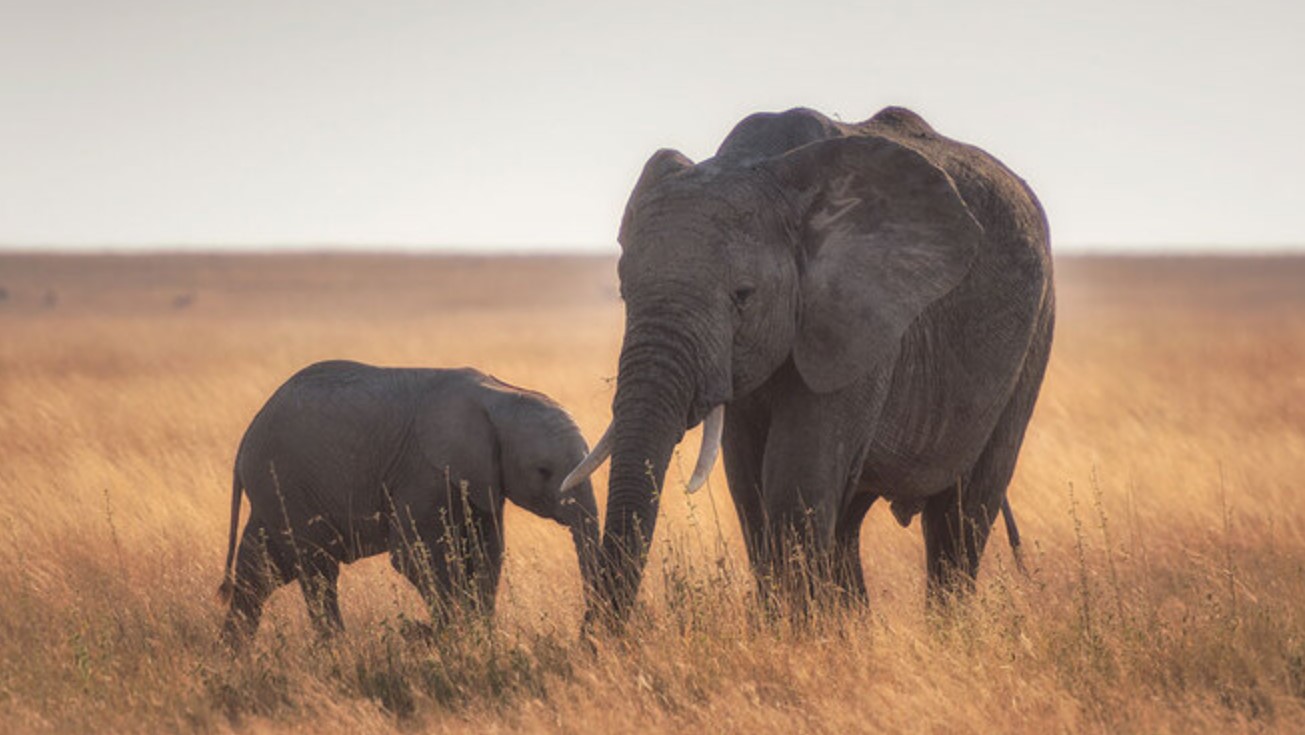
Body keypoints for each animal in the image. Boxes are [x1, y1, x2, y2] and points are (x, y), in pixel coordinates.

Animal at [219, 360, 600, 644]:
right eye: (543, 470)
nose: (586, 633)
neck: (500, 395)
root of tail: (245, 439)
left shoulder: (481, 480)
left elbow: (487, 553)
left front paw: (480, 638)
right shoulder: (423, 471)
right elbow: (415, 555)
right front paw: (452, 637)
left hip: (276, 491)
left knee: (260, 571)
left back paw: (233, 656)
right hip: (285, 483)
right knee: (317, 570)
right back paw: (337, 650)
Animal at [566, 106, 1054, 624]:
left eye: (743, 295)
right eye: (624, 292)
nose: (598, 639)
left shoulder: (859, 316)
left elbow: (794, 481)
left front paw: (798, 635)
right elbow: (749, 486)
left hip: (1034, 336)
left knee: (962, 515)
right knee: (849, 522)